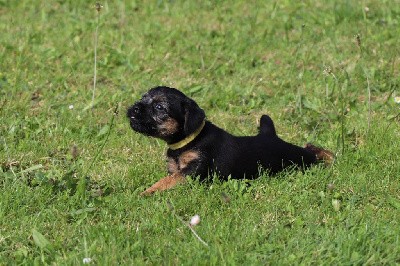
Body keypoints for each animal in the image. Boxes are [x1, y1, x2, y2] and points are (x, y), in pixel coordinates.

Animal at [126, 86, 332, 194]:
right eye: (142, 99)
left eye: (159, 107)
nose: (134, 108)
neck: (189, 141)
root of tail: (270, 135)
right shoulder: (175, 168)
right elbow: (168, 177)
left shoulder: (192, 171)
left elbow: (166, 181)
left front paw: (146, 192)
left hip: (296, 159)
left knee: (313, 153)